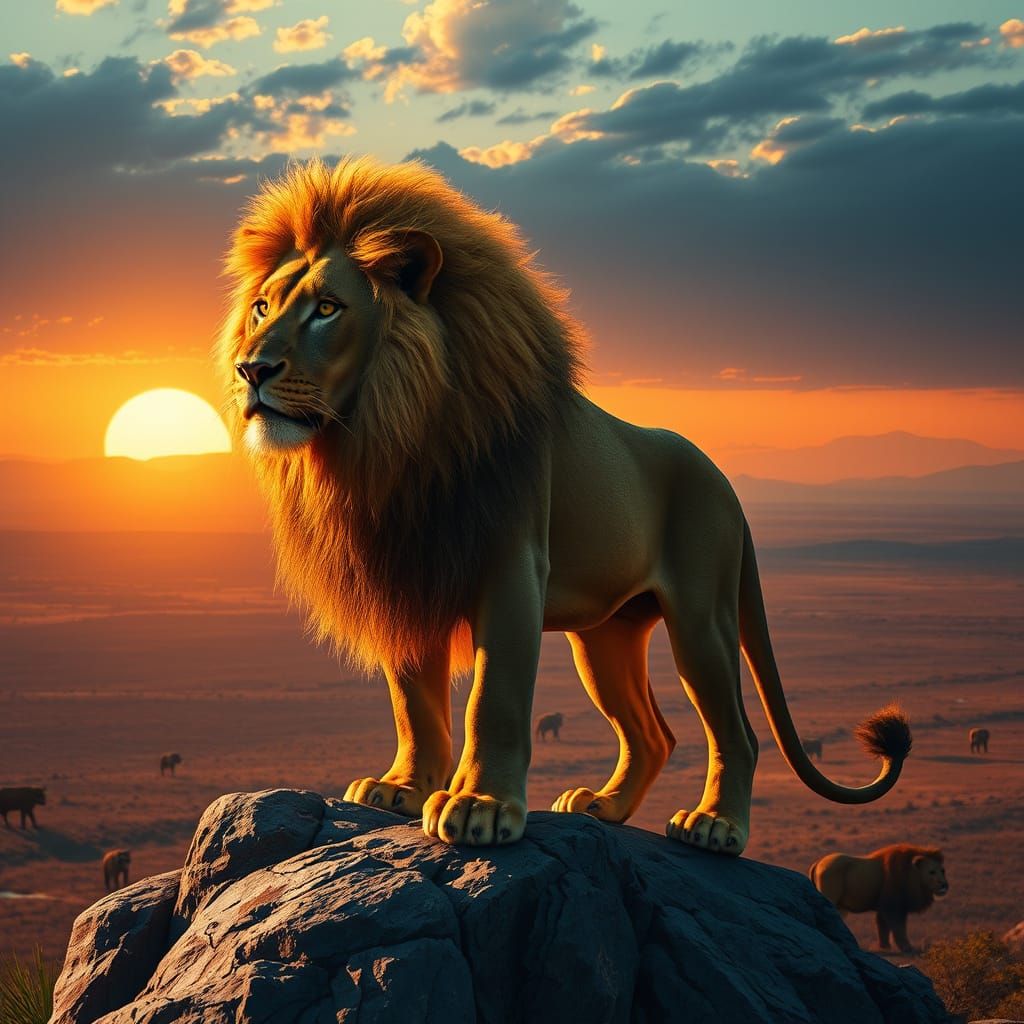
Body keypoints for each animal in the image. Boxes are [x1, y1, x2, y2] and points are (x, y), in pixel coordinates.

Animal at [218, 156, 911, 854]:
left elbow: (493, 697)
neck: (393, 438)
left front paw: (480, 807)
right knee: (653, 734)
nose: (251, 370)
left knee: (735, 733)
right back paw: (603, 806)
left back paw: (715, 825)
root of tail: (724, 482)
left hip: (701, 615)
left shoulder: (511, 569)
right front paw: (402, 789)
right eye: (261, 308)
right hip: (606, 637)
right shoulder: (407, 574)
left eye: (328, 309)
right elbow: (412, 702)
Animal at [809, 844, 948, 953]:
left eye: (943, 870)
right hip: (830, 898)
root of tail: (818, 862)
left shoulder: (884, 907)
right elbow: (899, 928)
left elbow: (883, 927)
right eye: (932, 872)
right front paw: (908, 948)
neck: (912, 876)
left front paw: (884, 947)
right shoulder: (894, 907)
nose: (944, 885)